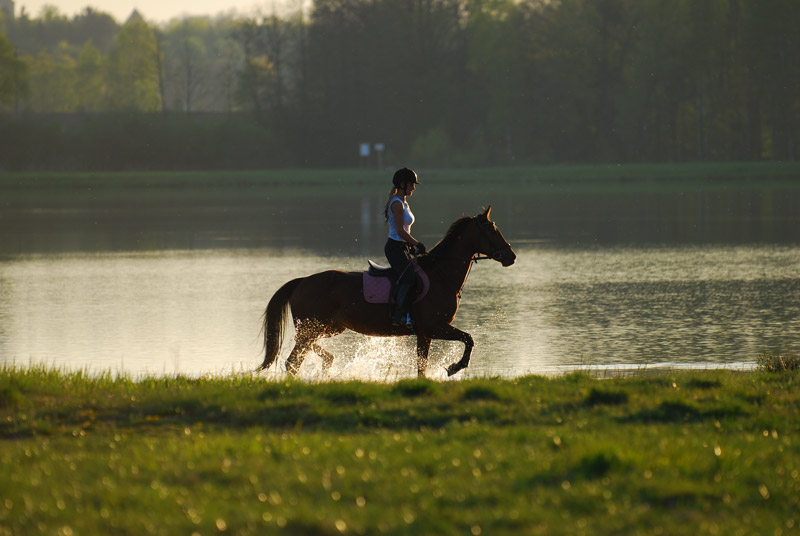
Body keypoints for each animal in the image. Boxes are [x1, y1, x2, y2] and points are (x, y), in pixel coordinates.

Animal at [260, 205, 516, 376]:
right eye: (493, 230)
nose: (511, 256)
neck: (441, 275)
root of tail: (302, 281)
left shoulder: (425, 333)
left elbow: (422, 367)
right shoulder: (435, 326)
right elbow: (469, 339)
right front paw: (455, 367)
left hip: (329, 327)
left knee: (304, 349)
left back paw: (328, 361)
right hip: (313, 326)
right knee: (293, 361)